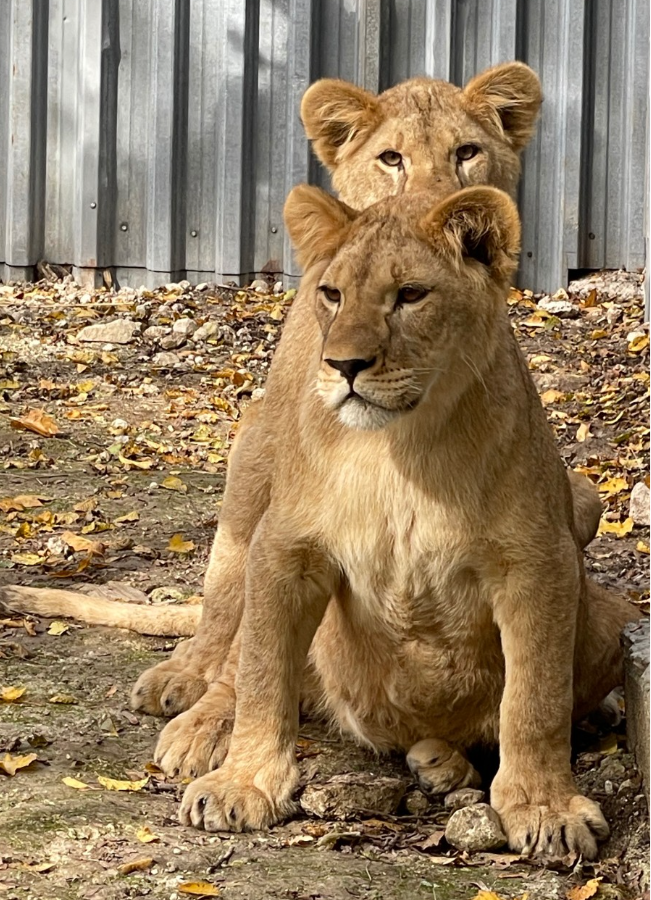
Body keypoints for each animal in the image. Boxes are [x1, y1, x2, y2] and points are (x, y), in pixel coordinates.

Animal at [157, 183, 637, 858]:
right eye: (332, 294)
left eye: (410, 295)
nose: (344, 365)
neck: (398, 450)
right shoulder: (285, 550)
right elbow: (262, 673)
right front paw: (243, 783)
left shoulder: (540, 563)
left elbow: (535, 701)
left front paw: (544, 807)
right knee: (233, 655)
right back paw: (199, 726)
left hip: (611, 613)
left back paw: (445, 762)